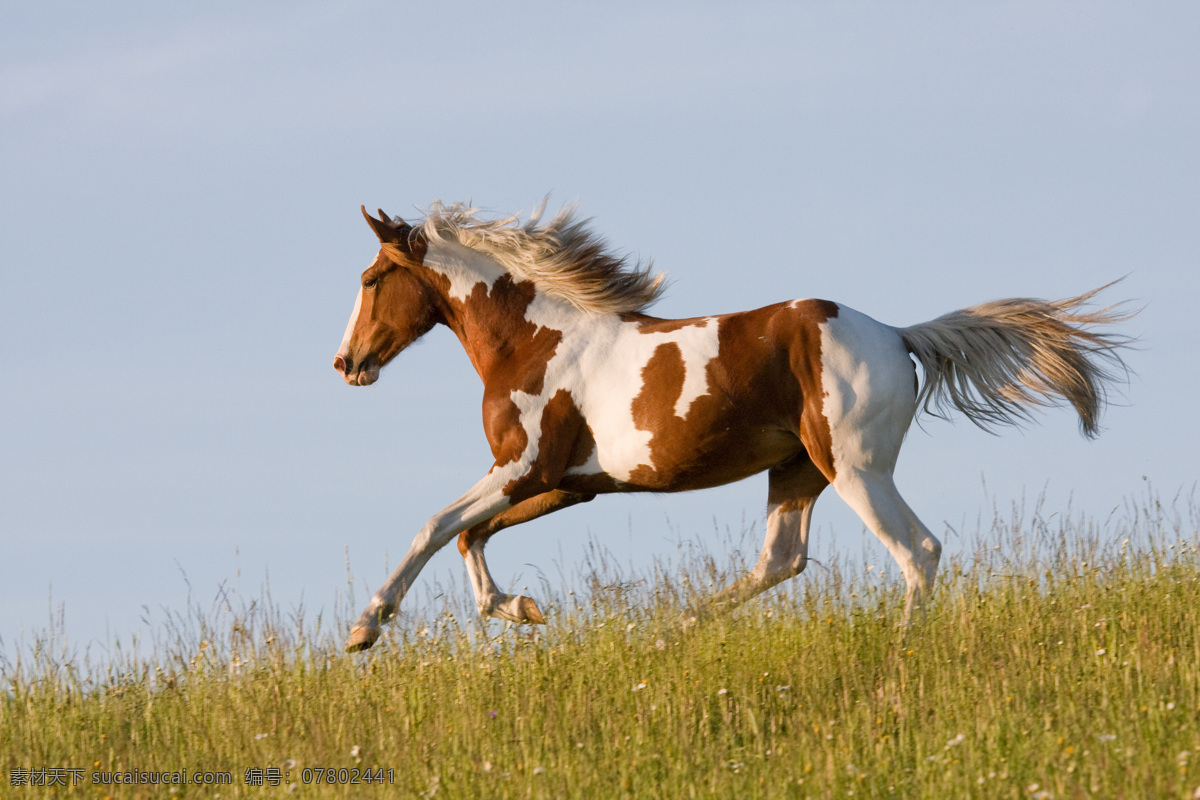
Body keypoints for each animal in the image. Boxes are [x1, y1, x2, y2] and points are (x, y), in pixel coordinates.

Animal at [333, 200, 1132, 653]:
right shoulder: (568, 483)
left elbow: (435, 526)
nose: (346, 362)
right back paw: (665, 633)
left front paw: (366, 627)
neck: (537, 341)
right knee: (780, 561)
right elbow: (470, 535)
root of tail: (899, 336)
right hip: (797, 470)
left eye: (371, 280)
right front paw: (524, 609)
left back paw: (903, 655)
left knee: (919, 550)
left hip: (855, 468)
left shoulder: (522, 467)